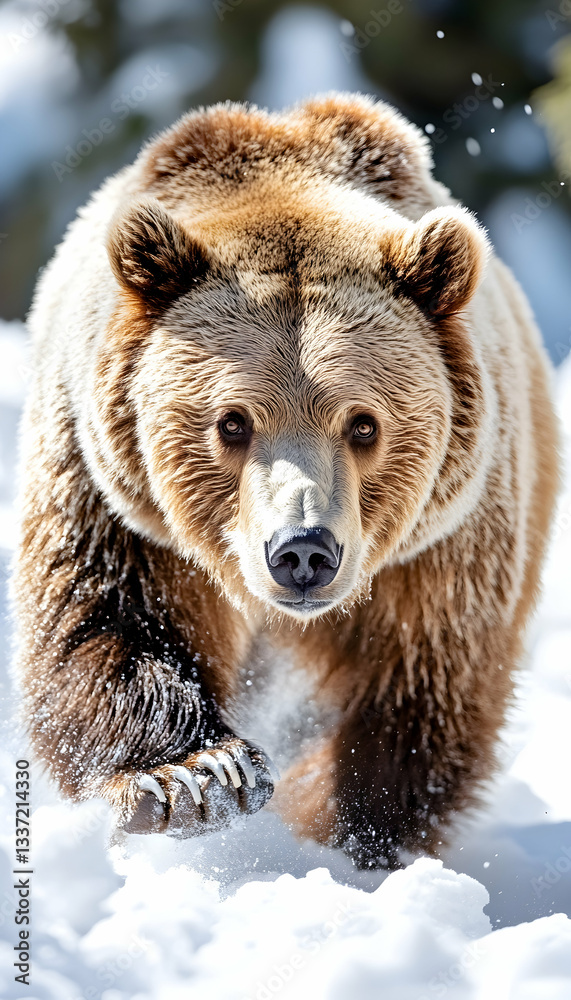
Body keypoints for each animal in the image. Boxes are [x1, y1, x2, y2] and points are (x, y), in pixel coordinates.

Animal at [14, 93, 559, 869]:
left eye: (363, 424)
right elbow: (106, 617)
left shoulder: (443, 549)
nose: (302, 549)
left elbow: (417, 694)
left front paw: (336, 828)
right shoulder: (114, 497)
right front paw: (195, 778)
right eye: (231, 422)